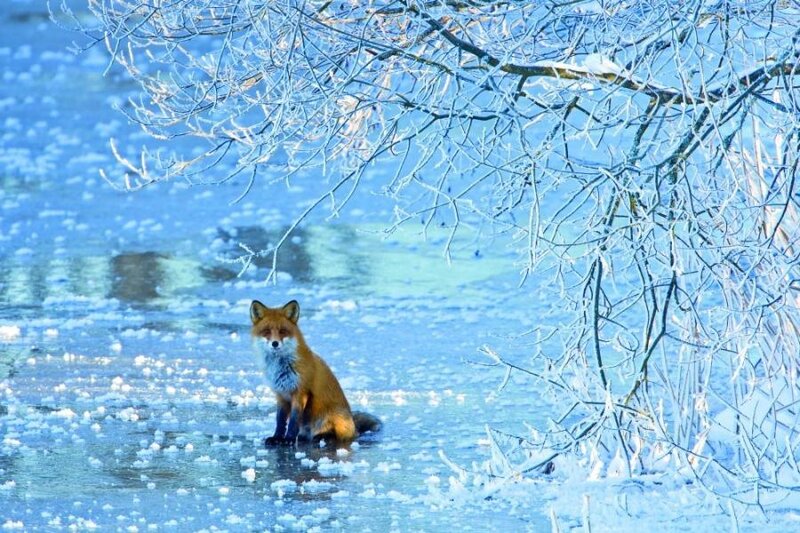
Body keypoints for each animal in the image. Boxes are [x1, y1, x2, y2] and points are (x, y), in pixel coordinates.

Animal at [250, 299, 382, 446]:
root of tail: (354, 428)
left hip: (331, 416)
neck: (281, 366)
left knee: (339, 435)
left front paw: (289, 439)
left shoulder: (300, 392)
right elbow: (280, 421)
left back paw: (323, 437)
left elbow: (293, 421)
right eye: (266, 331)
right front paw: (277, 438)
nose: (275, 343)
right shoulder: (280, 394)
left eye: (283, 331)